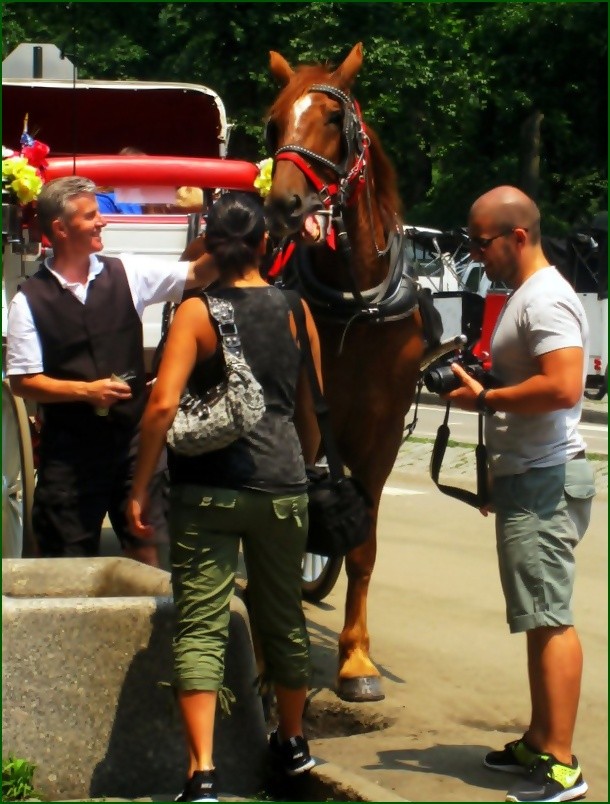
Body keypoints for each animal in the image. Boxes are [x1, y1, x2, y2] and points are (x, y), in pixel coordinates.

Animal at [264, 42, 430, 704]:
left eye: (336, 120)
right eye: (273, 124)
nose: (282, 203)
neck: (355, 303)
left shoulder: (381, 434)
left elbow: (362, 549)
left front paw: (356, 659)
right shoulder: (305, 418)